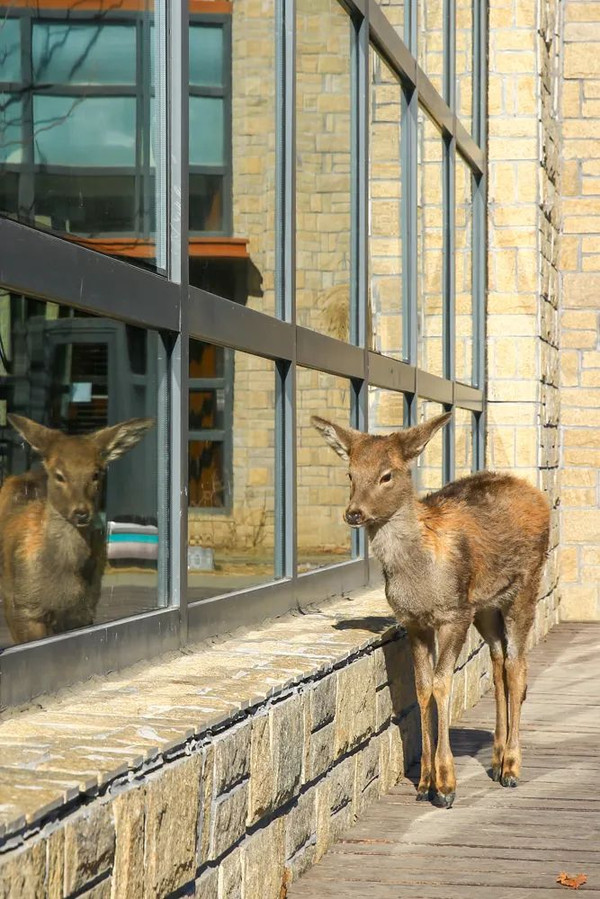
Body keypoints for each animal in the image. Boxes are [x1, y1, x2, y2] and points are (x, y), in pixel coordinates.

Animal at [312, 411, 550, 809]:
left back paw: (512, 767)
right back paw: (497, 759)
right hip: (486, 606)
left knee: (518, 665)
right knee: (499, 660)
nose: (354, 513)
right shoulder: (415, 622)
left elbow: (441, 684)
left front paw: (447, 785)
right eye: (350, 473)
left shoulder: (453, 613)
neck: (419, 577)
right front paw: (424, 783)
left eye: (387, 474)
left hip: (526, 585)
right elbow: (422, 687)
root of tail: (536, 493)